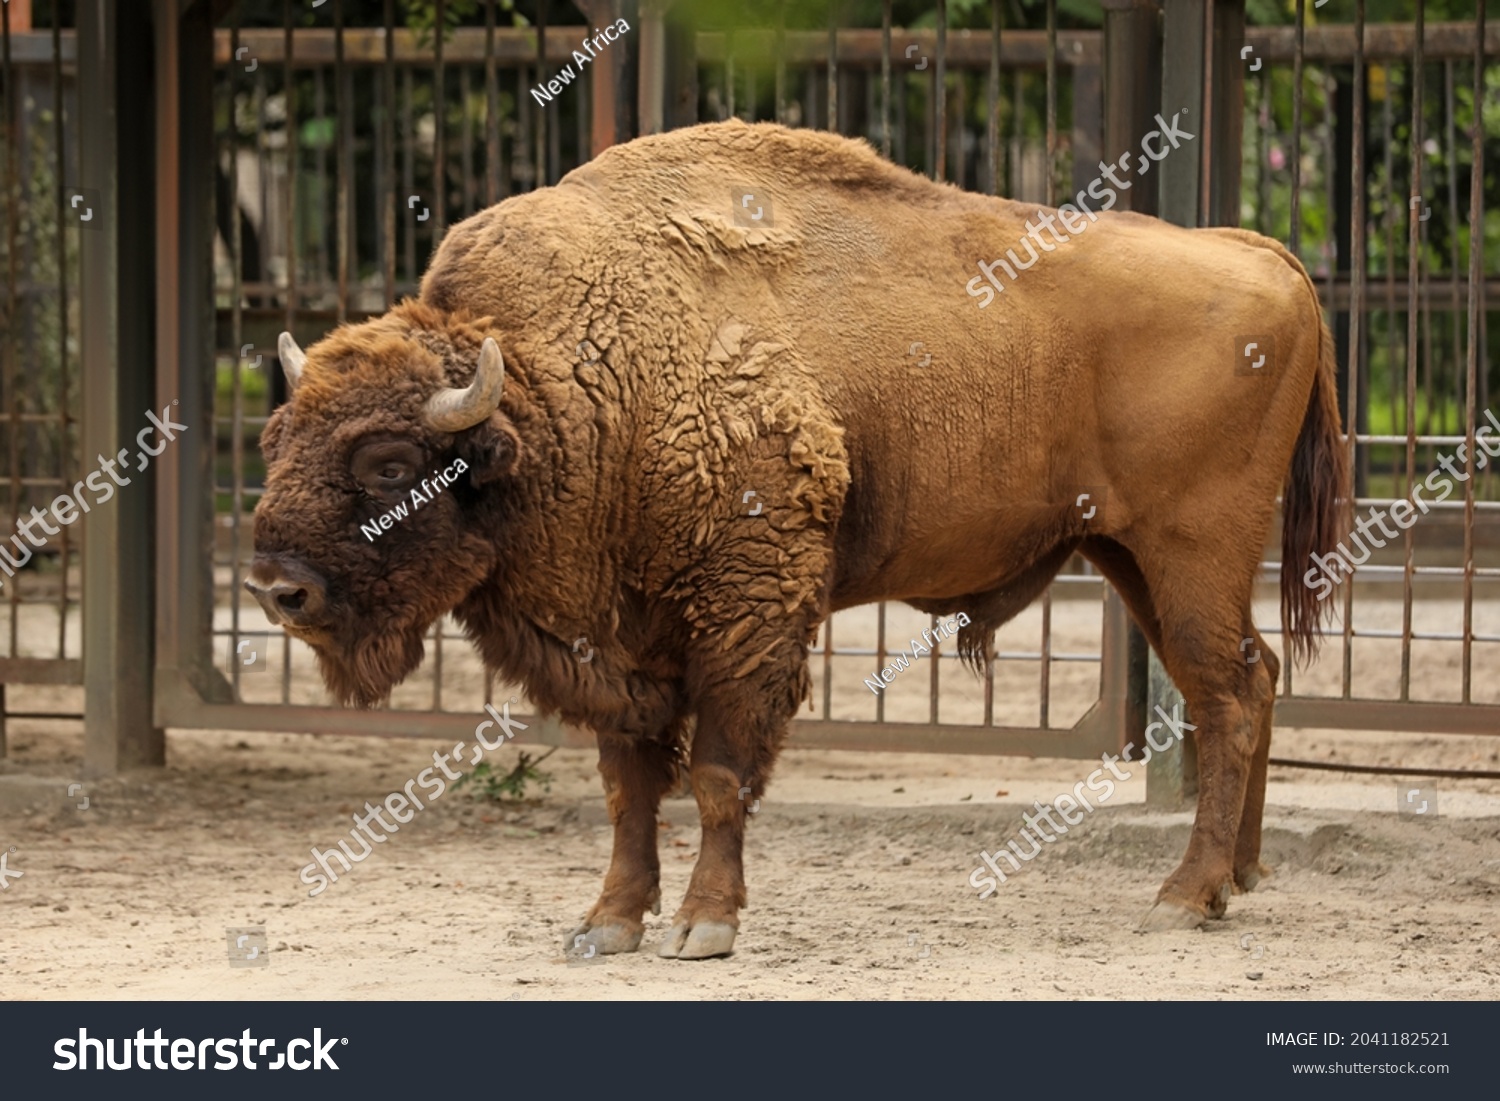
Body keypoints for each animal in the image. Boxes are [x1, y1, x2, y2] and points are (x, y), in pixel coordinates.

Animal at [246, 120, 1350, 960]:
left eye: (391, 463)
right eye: (275, 439)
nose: (275, 589)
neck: (566, 390)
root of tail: (1261, 253)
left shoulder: (747, 611)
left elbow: (718, 772)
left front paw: (704, 927)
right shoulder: (621, 637)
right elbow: (628, 785)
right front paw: (607, 924)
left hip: (1190, 553)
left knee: (1227, 695)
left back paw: (1185, 896)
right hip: (1132, 561)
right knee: (1252, 682)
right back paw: (1240, 876)